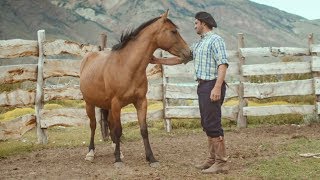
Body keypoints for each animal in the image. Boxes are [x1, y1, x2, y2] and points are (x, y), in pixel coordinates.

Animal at [79, 10, 190, 167]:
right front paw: (118, 160)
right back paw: (91, 153)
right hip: (90, 103)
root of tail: (89, 56)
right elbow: (118, 130)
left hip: (108, 107)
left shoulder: (141, 102)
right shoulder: (116, 103)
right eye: (173, 31)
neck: (127, 66)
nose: (189, 53)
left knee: (110, 125)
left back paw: (116, 149)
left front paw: (151, 158)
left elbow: (143, 130)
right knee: (93, 125)